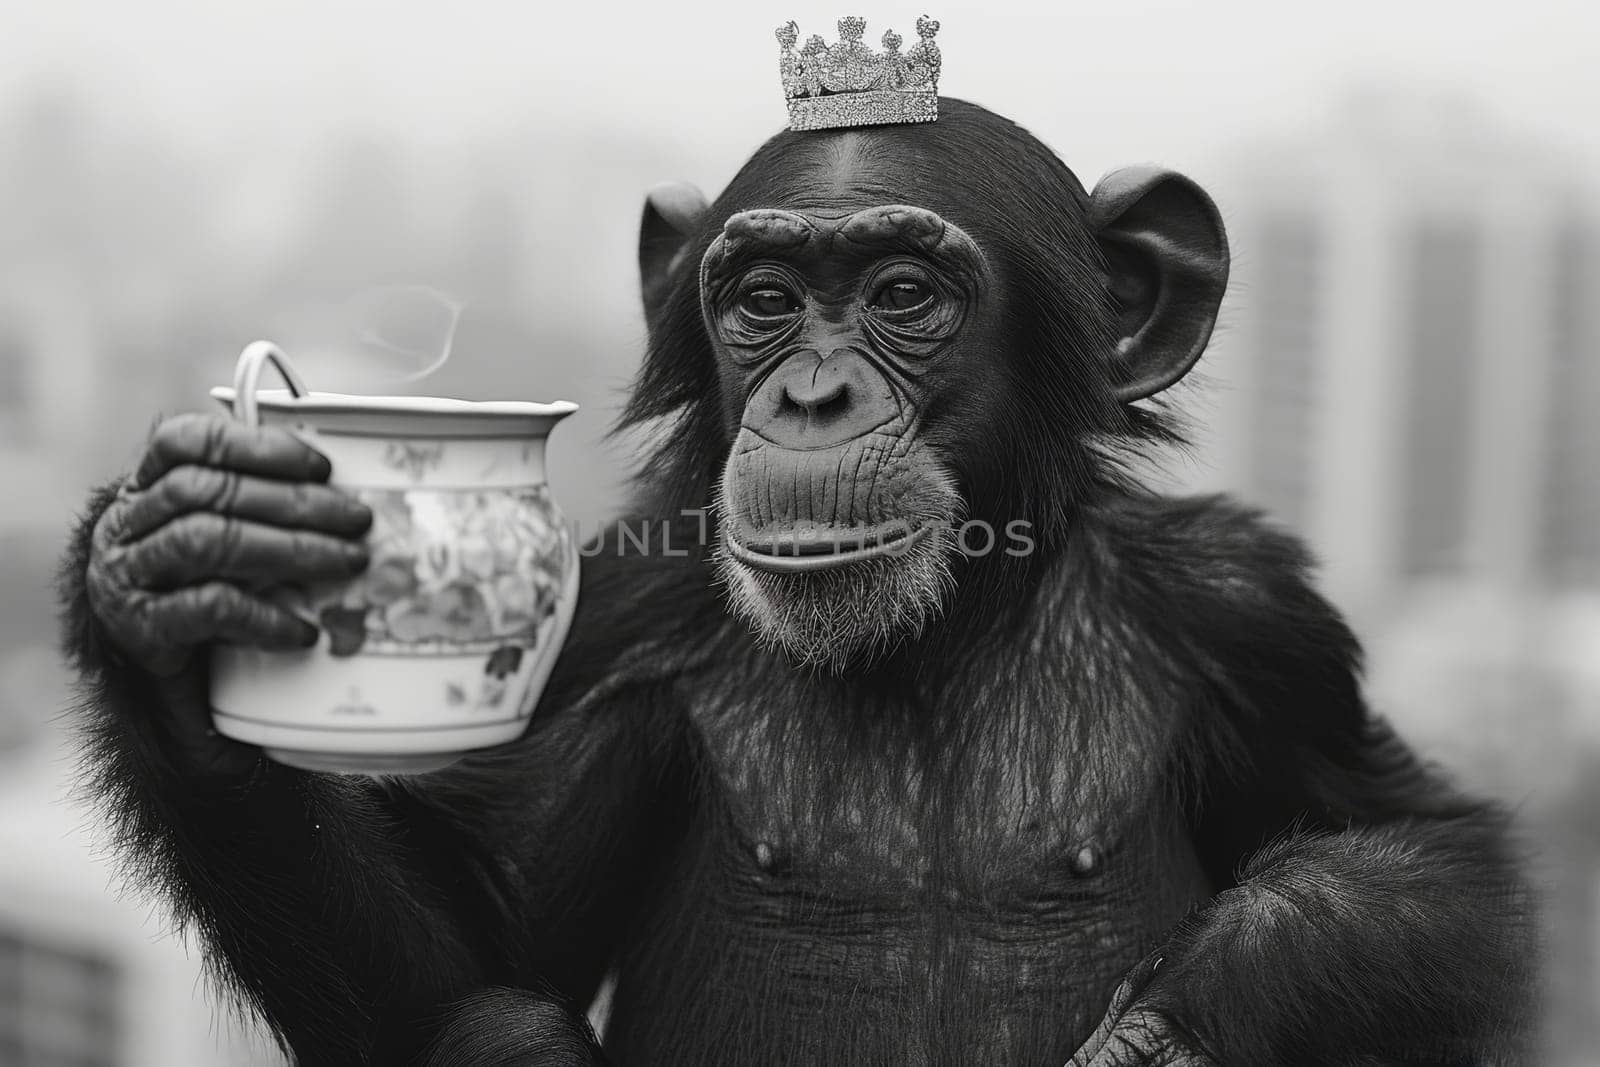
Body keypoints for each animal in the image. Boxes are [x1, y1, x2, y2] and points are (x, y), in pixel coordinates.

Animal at [65, 99, 1536, 1067]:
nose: (812, 395)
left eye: (901, 292)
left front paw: (1193, 1016)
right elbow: (464, 961)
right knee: (500, 1025)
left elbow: (1420, 839)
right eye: (765, 299)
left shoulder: (1250, 613)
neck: (941, 626)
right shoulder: (618, 626)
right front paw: (179, 578)